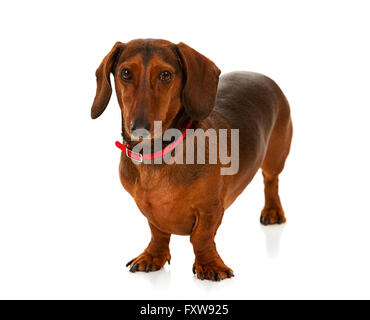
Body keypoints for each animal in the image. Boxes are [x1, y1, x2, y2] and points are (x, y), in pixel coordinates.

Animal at [90, 38, 292, 282]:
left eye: (166, 74)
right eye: (126, 73)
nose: (139, 128)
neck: (156, 154)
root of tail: (260, 75)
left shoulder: (210, 209)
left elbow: (201, 237)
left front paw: (210, 264)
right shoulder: (147, 208)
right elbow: (157, 232)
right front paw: (153, 256)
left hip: (276, 155)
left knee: (271, 181)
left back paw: (272, 211)